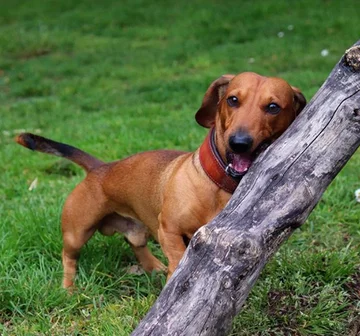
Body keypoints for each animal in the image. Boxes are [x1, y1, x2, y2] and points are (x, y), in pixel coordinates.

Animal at [15, 72, 306, 288]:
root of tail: (100, 168)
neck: (218, 186)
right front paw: (174, 277)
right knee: (69, 257)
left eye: (273, 107)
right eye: (233, 100)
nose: (239, 142)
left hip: (136, 228)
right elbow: (178, 258)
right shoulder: (169, 230)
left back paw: (154, 266)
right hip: (77, 231)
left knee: (136, 243)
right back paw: (68, 288)